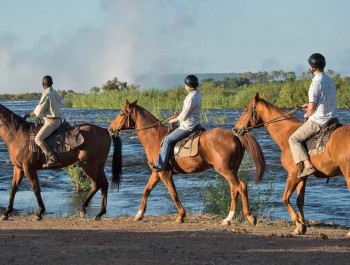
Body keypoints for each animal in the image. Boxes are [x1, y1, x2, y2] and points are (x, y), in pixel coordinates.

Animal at [109, 99, 266, 225]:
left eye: (122, 113)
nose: (110, 129)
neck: (155, 138)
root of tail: (234, 135)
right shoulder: (157, 172)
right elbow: (146, 191)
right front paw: (139, 215)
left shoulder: (165, 173)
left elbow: (173, 194)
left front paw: (181, 216)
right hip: (231, 170)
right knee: (234, 189)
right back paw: (228, 219)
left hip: (226, 170)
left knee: (241, 187)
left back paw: (249, 217)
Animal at [232, 92, 350, 233]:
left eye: (246, 109)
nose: (235, 129)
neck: (287, 134)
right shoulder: (302, 177)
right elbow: (300, 201)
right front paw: (302, 225)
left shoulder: (293, 175)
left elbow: (285, 198)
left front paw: (298, 224)